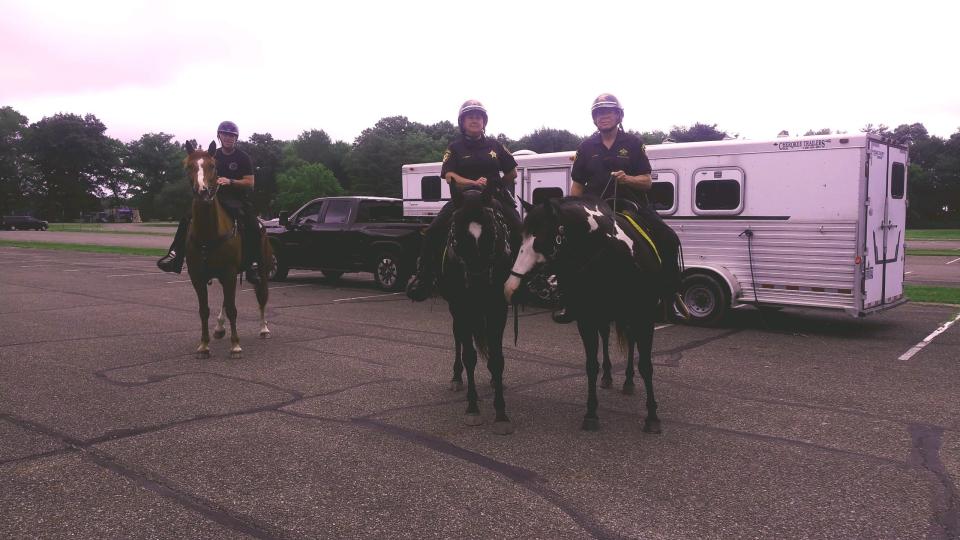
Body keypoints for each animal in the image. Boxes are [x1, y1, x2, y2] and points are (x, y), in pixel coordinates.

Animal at [184, 141, 274, 358]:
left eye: (212, 166)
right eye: (189, 166)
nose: (203, 192)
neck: (208, 232)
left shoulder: (229, 271)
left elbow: (233, 308)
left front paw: (235, 345)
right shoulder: (198, 276)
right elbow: (204, 310)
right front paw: (204, 345)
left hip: (262, 270)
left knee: (262, 297)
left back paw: (263, 328)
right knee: (225, 300)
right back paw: (219, 328)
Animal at [438, 190, 512, 434]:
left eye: (492, 233)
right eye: (457, 237)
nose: (478, 284)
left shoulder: (498, 308)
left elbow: (497, 359)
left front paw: (501, 414)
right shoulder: (462, 308)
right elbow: (469, 356)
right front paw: (472, 408)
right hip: (457, 311)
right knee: (458, 338)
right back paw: (456, 377)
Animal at [498, 198, 664, 434]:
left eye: (540, 242)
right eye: (521, 239)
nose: (510, 288)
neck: (613, 257)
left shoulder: (645, 317)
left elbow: (646, 366)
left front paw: (652, 416)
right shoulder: (587, 320)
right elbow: (591, 366)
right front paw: (591, 413)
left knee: (631, 342)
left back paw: (628, 381)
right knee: (606, 337)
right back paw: (609, 377)